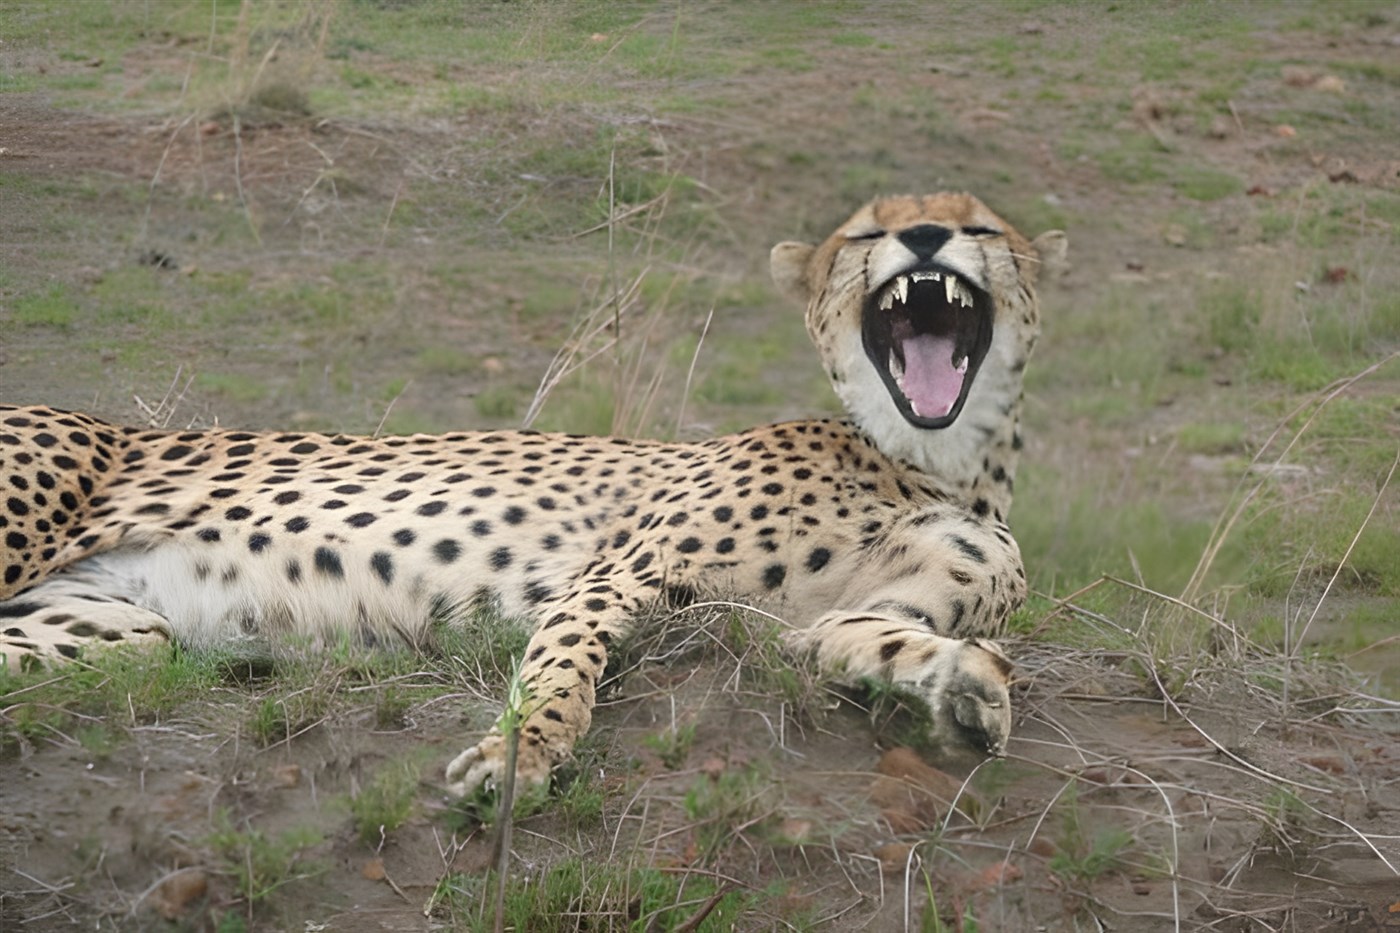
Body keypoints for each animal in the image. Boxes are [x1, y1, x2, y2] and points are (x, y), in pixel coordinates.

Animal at [0, 192, 1066, 796]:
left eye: (979, 228)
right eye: (864, 236)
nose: (924, 238)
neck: (931, 460)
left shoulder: (824, 622)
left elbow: (881, 638)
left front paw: (965, 687)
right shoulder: (615, 574)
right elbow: (565, 669)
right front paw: (524, 756)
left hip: (115, 631)